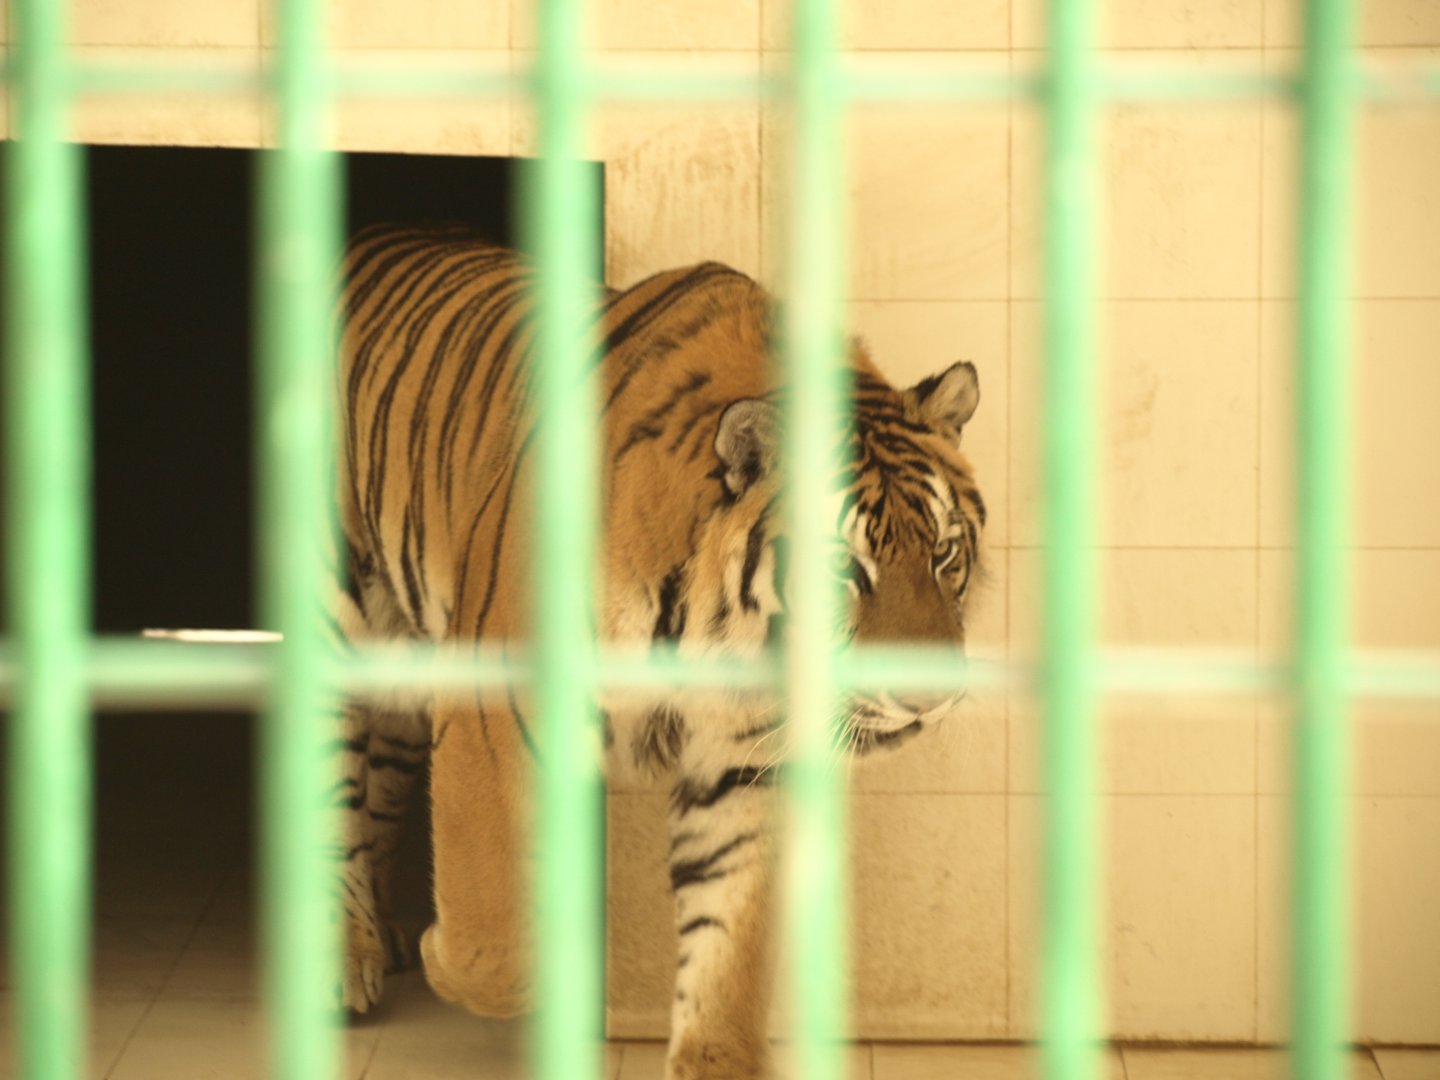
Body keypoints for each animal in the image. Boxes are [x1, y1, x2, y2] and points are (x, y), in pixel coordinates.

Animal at [331, 224, 987, 1079]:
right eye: (846, 569)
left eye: (944, 555)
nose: (929, 699)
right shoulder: (494, 707)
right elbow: (494, 937)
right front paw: (446, 953)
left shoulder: (748, 760)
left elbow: (729, 945)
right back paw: (348, 959)